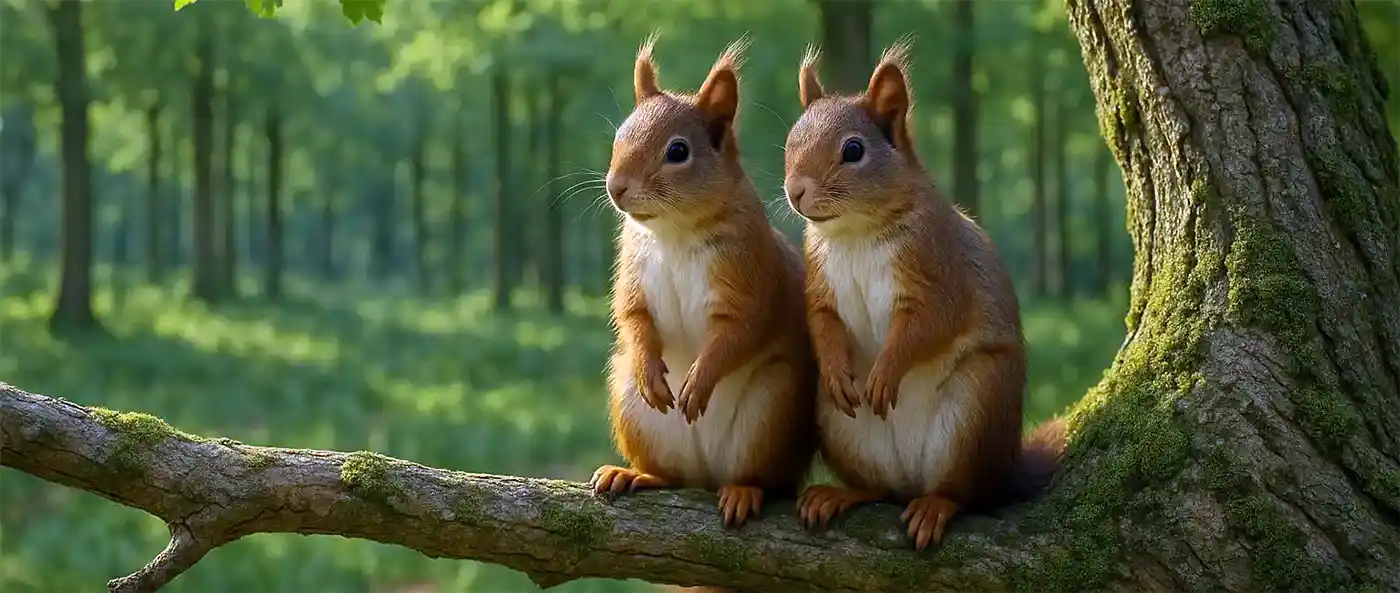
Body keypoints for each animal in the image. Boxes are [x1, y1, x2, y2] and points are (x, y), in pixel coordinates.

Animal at [589, 34, 819, 533]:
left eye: (678, 152)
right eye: (619, 135)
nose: (616, 187)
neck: (673, 231)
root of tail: (706, 473)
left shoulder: (749, 274)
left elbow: (740, 329)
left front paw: (699, 380)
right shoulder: (634, 273)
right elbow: (632, 316)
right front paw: (652, 369)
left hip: (772, 407)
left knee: (765, 479)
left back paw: (744, 491)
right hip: (631, 405)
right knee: (671, 475)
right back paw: (633, 474)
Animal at [781, 40, 1067, 552]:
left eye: (853, 150)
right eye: (791, 138)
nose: (795, 190)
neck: (855, 232)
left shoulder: (939, 270)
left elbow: (930, 323)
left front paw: (885, 373)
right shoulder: (820, 283)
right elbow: (821, 321)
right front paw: (836, 367)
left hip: (976, 407)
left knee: (963, 492)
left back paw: (936, 506)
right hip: (838, 426)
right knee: (880, 490)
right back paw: (839, 494)